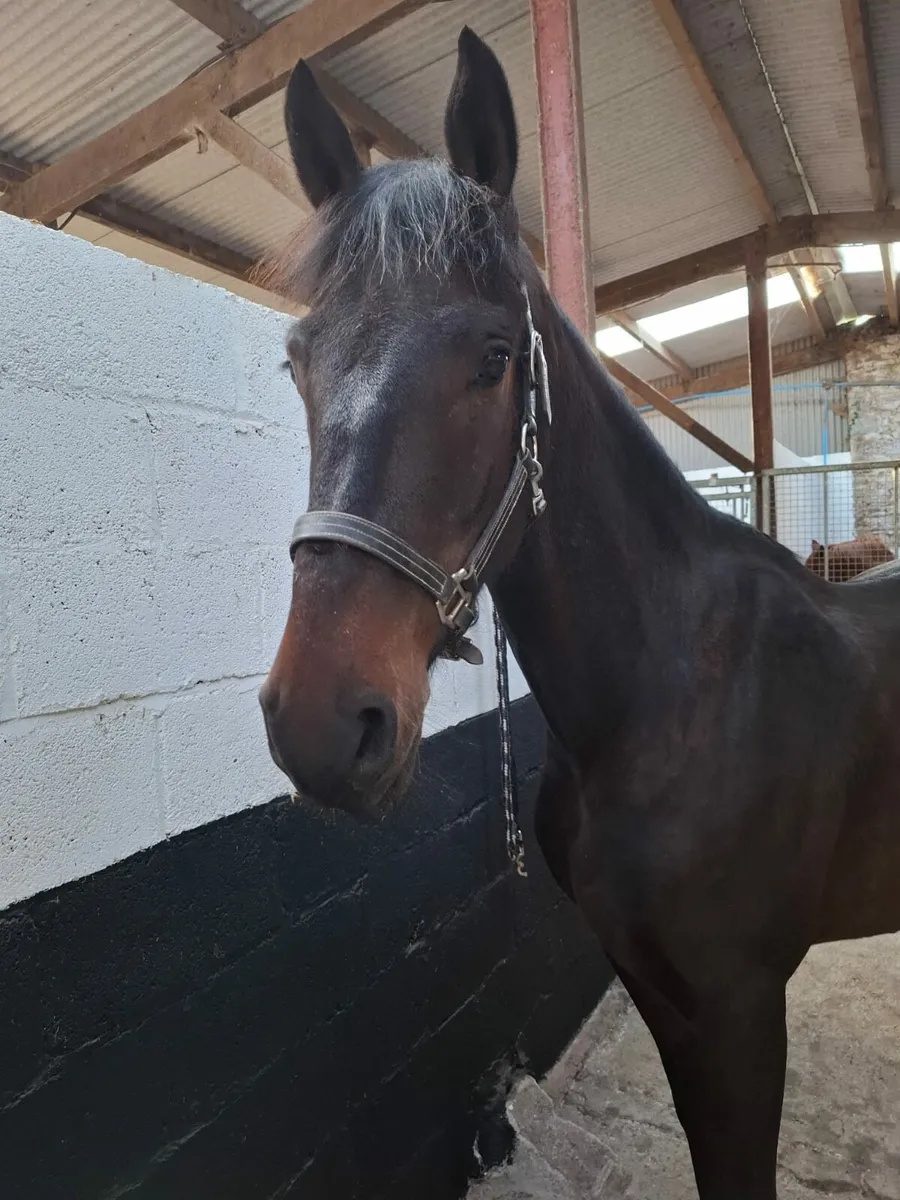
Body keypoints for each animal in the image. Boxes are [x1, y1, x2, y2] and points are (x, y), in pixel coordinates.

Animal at [258, 28, 900, 1200]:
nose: (322, 726)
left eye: (494, 359)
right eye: (297, 362)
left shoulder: (742, 1009)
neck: (676, 694)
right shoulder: (661, 991)